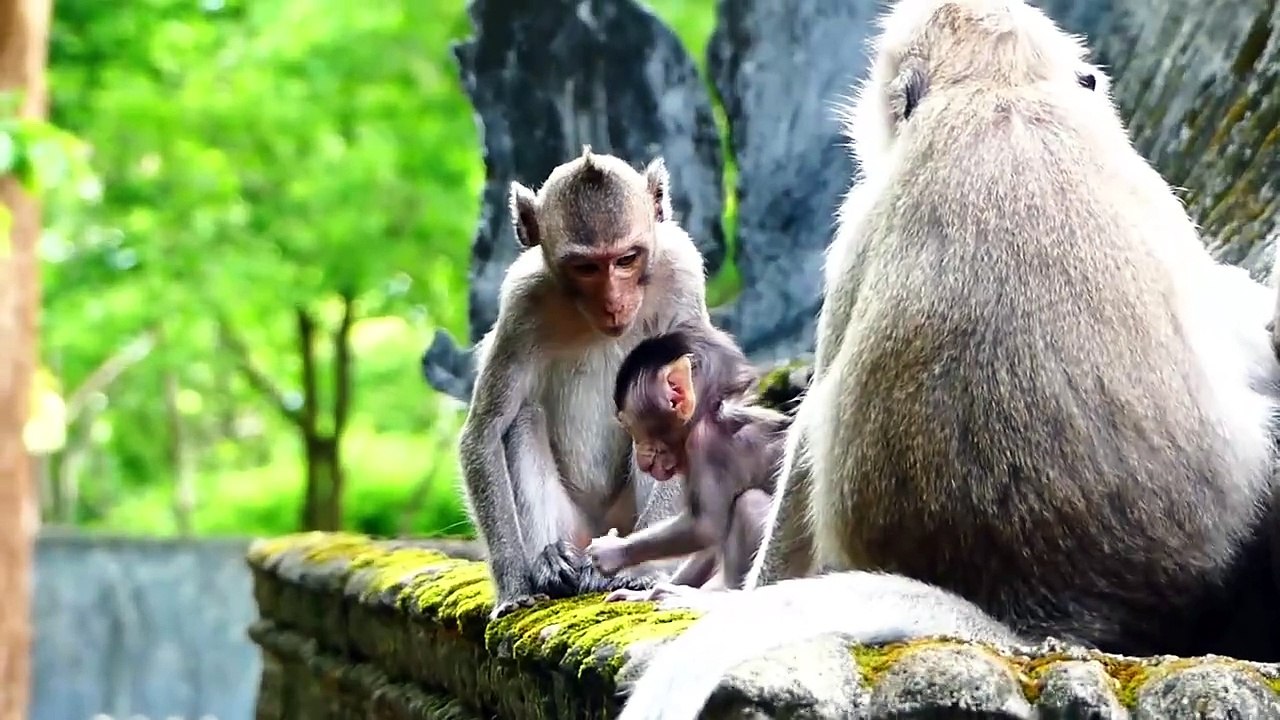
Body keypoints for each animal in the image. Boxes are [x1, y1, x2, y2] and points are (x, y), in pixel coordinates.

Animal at [457, 147, 720, 620]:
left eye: (626, 259)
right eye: (585, 267)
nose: (614, 303)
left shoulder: (681, 274)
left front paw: (638, 570)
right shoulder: (521, 300)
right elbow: (484, 432)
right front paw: (514, 588)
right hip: (575, 526)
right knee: (522, 418)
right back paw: (552, 562)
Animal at [584, 329, 790, 601]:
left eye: (631, 428)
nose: (639, 456)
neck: (709, 415)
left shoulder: (704, 446)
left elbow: (705, 527)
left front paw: (612, 552)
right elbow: (710, 542)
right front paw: (641, 594)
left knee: (750, 503)